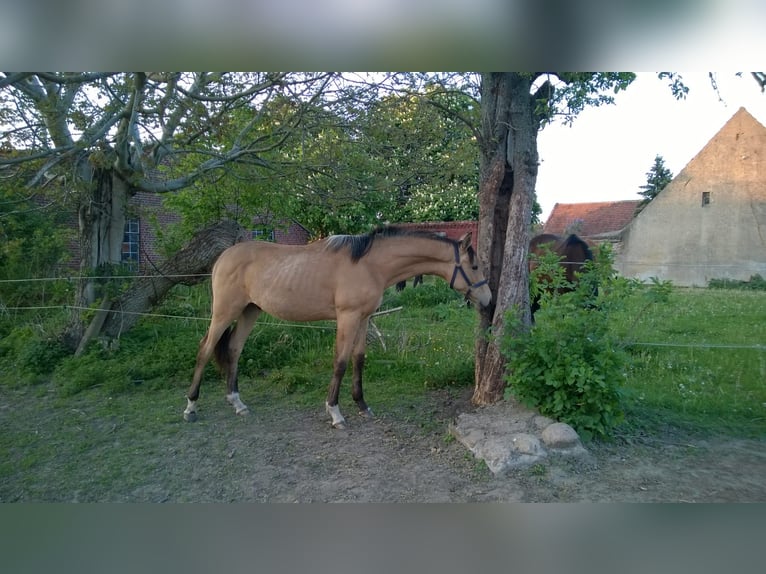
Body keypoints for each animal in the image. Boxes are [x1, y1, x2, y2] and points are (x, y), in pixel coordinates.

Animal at [185, 225, 492, 429]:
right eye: (475, 266)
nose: (488, 300)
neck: (370, 265)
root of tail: (223, 257)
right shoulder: (347, 317)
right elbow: (341, 362)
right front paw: (335, 412)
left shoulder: (364, 318)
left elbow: (358, 359)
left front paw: (362, 404)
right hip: (225, 312)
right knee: (204, 349)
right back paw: (191, 407)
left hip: (250, 310)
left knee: (234, 349)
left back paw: (238, 403)